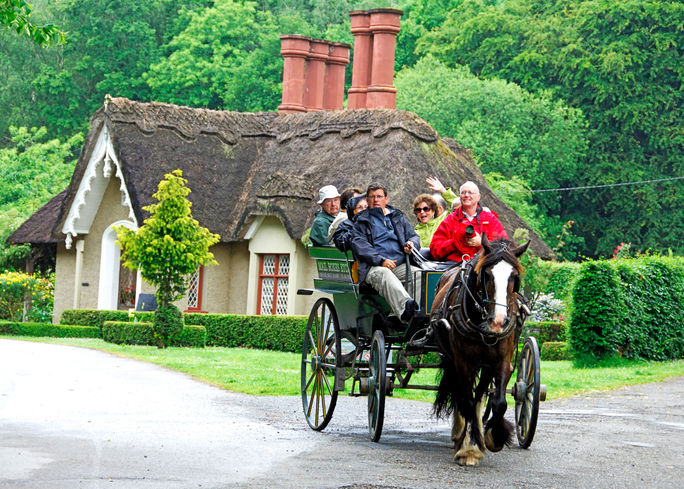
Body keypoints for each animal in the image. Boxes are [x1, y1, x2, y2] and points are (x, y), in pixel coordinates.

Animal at [430, 236, 532, 466]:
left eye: (515, 277)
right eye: (486, 275)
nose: (498, 322)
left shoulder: (500, 361)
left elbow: (498, 402)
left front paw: (493, 438)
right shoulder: (463, 362)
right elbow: (466, 401)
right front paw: (468, 449)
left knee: (479, 395)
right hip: (454, 360)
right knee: (462, 396)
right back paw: (462, 434)